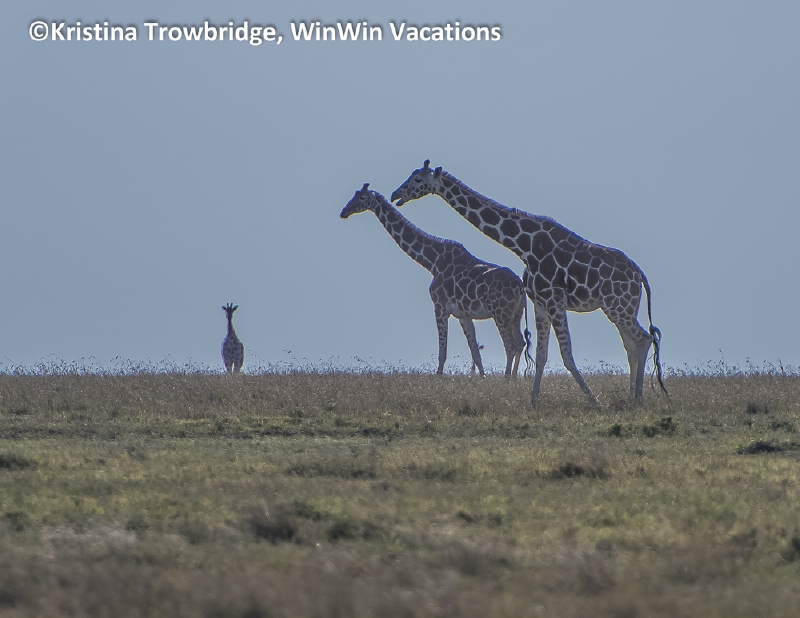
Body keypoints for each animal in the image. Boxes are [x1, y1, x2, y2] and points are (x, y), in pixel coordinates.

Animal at [341, 183, 530, 377]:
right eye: (354, 195)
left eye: (362, 198)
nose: (344, 211)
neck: (432, 262)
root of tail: (519, 286)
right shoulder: (464, 315)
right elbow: (475, 353)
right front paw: (482, 378)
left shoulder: (440, 307)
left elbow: (442, 352)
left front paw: (438, 377)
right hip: (516, 314)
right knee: (520, 343)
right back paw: (513, 378)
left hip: (500, 312)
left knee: (510, 344)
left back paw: (507, 378)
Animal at [391, 161, 667, 406]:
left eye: (418, 179)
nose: (396, 194)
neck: (524, 246)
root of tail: (639, 274)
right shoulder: (540, 303)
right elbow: (542, 355)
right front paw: (532, 402)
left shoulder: (555, 300)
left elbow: (566, 355)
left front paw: (593, 401)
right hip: (620, 308)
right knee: (632, 344)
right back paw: (631, 395)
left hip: (618, 306)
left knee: (643, 339)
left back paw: (638, 397)